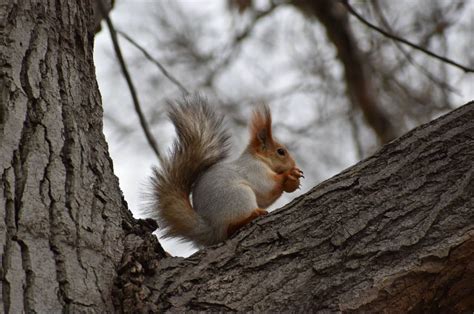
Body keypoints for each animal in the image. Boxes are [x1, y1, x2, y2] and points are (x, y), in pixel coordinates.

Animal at [151, 95, 304, 248]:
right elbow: (266, 187)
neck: (259, 159)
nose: (293, 164)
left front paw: (293, 182)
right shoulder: (254, 170)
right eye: (281, 151)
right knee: (229, 228)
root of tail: (212, 229)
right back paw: (251, 216)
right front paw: (290, 174)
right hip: (239, 196)